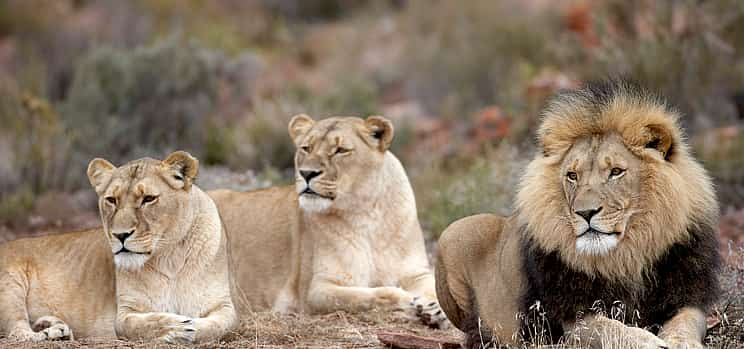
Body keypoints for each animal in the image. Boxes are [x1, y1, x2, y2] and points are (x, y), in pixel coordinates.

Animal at [0, 150, 238, 342]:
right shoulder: (125, 312)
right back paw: (46, 334)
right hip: (10, 286)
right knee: (18, 333)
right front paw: (174, 327)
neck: (169, 256)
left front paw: (190, 327)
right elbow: (137, 324)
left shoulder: (223, 305)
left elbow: (220, 326)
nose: (120, 235)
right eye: (111, 200)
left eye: (148, 199)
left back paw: (54, 328)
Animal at [208, 114, 448, 326]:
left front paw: (436, 309)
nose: (306, 173)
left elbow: (433, 287)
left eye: (340, 150)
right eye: (306, 148)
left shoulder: (415, 272)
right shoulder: (316, 289)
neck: (368, 214)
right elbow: (370, 296)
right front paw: (412, 303)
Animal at [436, 80, 720, 346]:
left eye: (616, 171)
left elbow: (686, 323)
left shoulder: (687, 296)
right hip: (454, 232)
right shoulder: (571, 316)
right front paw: (648, 341)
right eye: (572, 176)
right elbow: (608, 328)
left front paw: (680, 342)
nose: (585, 212)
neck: (627, 255)